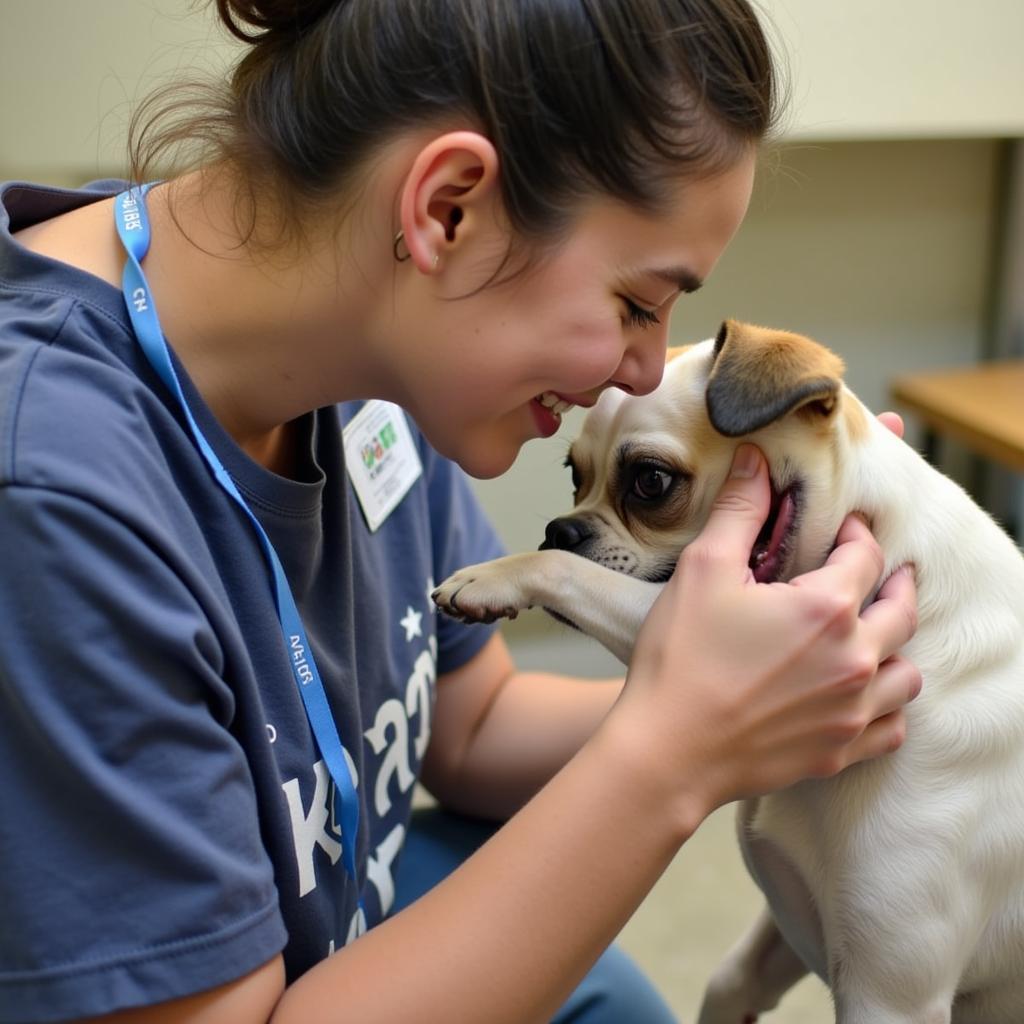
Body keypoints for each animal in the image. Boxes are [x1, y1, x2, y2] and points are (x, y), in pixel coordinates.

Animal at [432, 321, 1024, 1024]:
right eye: (574, 475)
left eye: (650, 483)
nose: (560, 529)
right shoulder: (794, 928)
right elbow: (729, 982)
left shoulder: (887, 996)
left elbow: (568, 574)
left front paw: (494, 575)